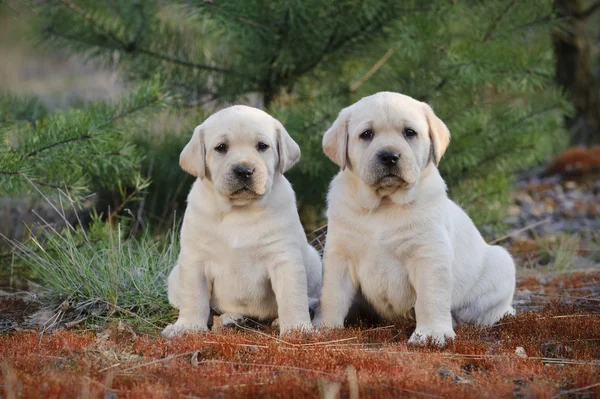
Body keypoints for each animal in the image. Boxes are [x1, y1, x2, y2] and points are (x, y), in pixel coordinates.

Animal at [162, 105, 324, 338]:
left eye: (262, 146)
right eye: (221, 147)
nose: (244, 170)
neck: (240, 210)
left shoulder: (284, 259)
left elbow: (292, 298)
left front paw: (297, 330)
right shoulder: (195, 260)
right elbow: (194, 297)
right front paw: (187, 327)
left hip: (314, 264)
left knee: (307, 298)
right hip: (176, 277)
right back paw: (229, 319)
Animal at [314, 92, 516, 346]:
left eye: (409, 132)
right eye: (366, 134)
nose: (389, 156)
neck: (384, 205)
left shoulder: (429, 255)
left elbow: (430, 298)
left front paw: (432, 333)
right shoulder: (340, 255)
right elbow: (332, 294)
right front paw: (324, 328)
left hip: (501, 264)